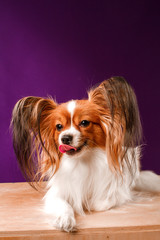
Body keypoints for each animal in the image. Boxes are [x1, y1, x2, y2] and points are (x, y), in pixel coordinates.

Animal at [11, 76, 160, 231]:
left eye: (84, 123)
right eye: (59, 126)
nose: (65, 138)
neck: (82, 161)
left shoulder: (120, 192)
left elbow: (101, 202)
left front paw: (88, 203)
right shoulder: (55, 195)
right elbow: (64, 205)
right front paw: (65, 219)